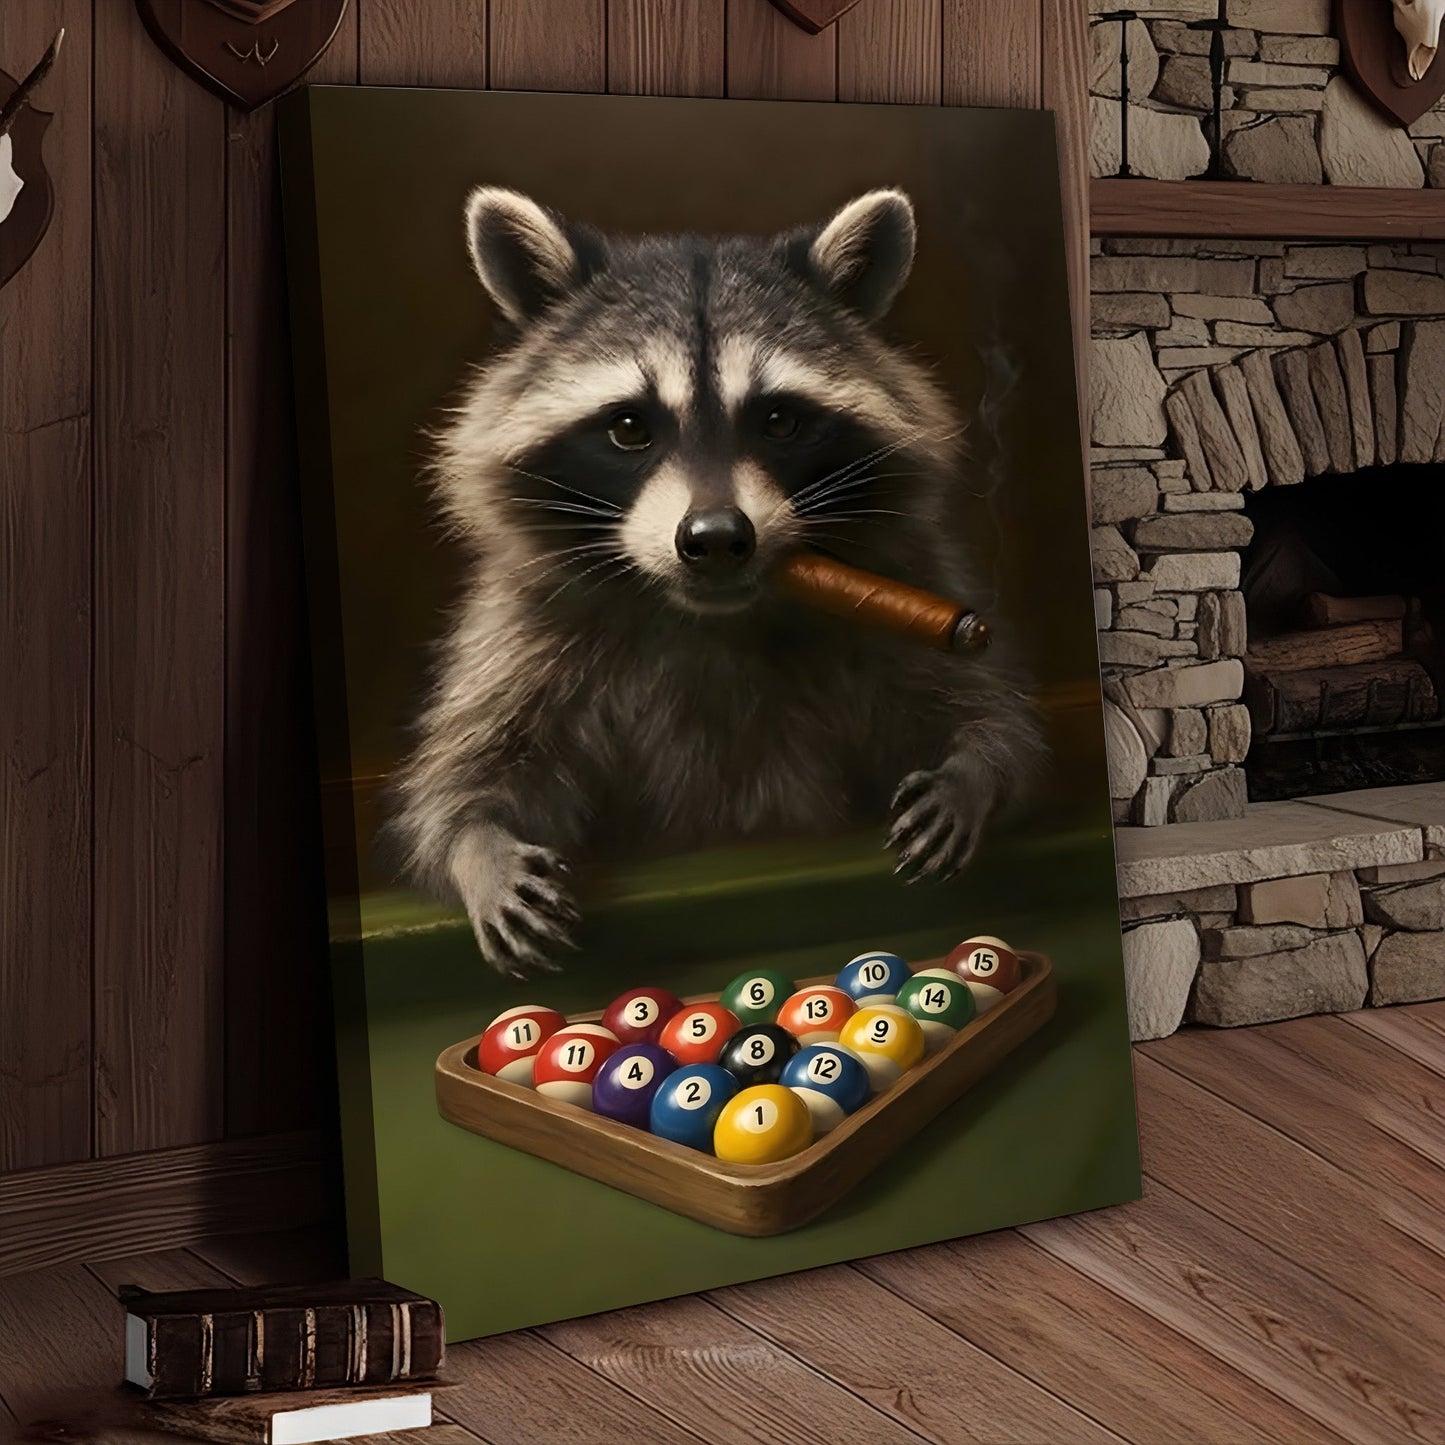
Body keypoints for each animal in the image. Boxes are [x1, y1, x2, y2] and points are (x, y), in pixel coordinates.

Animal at [393, 186, 1045, 977]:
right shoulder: (525, 634)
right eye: (629, 428)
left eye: (779, 419)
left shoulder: (909, 581)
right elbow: (467, 771)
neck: (712, 618)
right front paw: (477, 843)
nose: (714, 539)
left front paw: (973, 773)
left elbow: (998, 720)